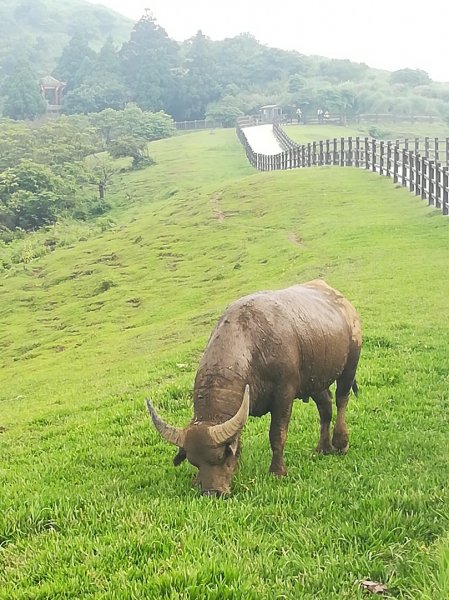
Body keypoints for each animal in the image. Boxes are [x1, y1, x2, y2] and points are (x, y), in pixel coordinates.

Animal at [146, 282, 360, 496]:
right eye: (194, 462)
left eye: (221, 456)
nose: (212, 492)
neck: (252, 346)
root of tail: (345, 304)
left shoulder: (284, 394)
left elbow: (277, 434)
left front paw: (277, 471)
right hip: (315, 380)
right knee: (326, 407)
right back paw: (322, 448)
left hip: (350, 364)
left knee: (341, 399)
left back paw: (341, 443)